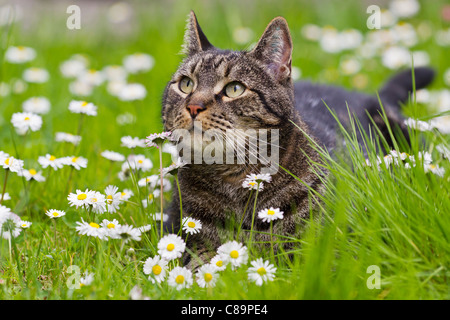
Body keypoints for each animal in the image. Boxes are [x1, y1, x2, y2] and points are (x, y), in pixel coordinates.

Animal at [160, 11, 434, 264]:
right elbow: (200, 265)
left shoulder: (327, 248)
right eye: (186, 84)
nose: (194, 106)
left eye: (234, 88)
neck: (235, 181)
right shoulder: (181, 231)